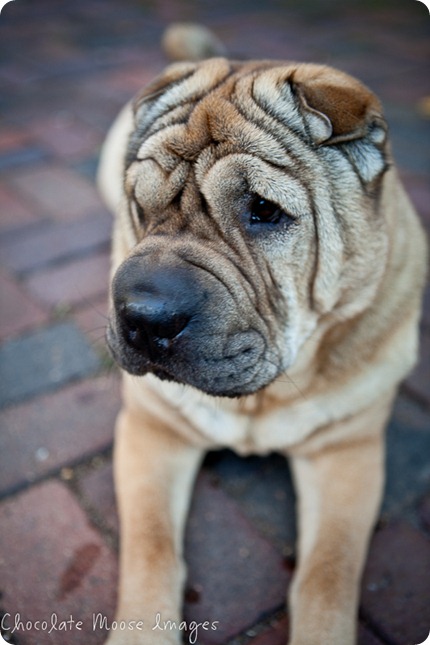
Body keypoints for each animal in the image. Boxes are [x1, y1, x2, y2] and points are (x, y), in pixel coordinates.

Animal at [97, 22, 426, 644]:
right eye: (140, 205)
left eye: (265, 210)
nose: (143, 317)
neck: (261, 402)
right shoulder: (153, 429)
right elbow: (151, 548)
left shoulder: (347, 453)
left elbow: (328, 576)